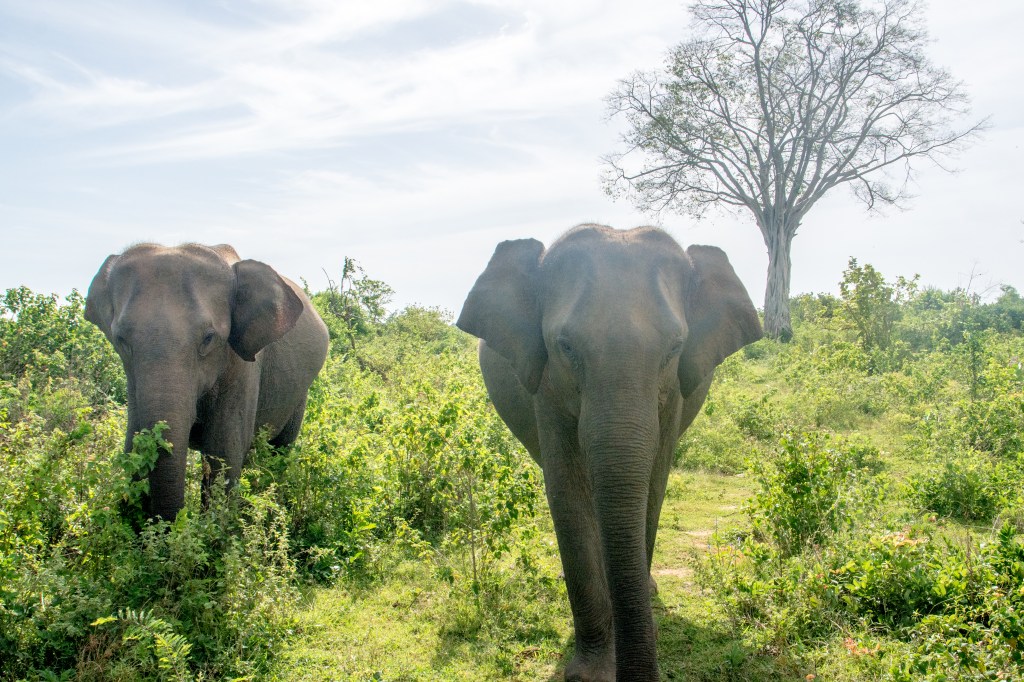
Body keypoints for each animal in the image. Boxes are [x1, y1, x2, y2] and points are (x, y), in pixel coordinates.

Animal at [85, 243, 329, 522]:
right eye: (121, 340)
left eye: (209, 338)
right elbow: (132, 446)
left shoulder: (241, 367)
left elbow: (223, 454)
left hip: (299, 395)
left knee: (278, 450)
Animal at [456, 224, 762, 681]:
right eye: (565, 346)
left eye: (675, 348)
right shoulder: (546, 385)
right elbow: (567, 496)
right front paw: (591, 673)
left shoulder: (674, 394)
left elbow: (652, 488)